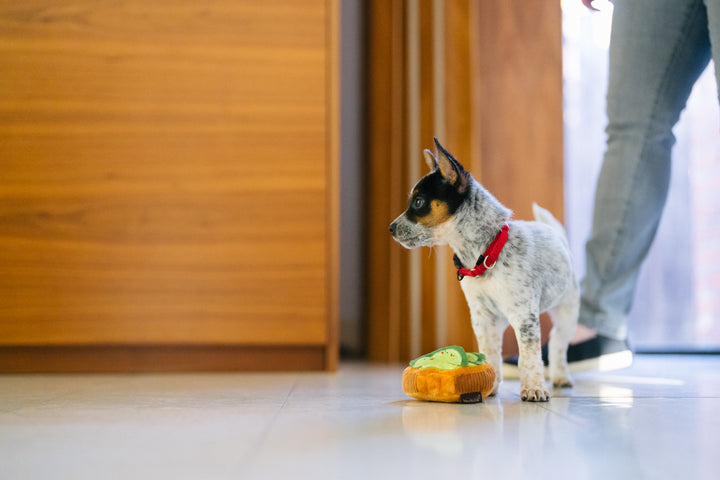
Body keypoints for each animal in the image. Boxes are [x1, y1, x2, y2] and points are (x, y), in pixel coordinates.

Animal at [388, 138, 580, 402]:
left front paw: (533, 388)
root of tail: (557, 235)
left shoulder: (525, 317)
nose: (390, 228)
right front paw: (490, 384)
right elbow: (489, 354)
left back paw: (560, 376)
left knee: (557, 343)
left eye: (418, 202)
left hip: (567, 313)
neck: (485, 254)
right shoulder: (483, 318)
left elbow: (529, 357)